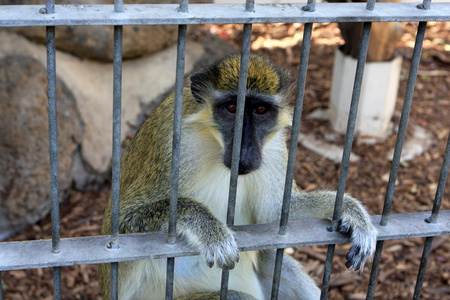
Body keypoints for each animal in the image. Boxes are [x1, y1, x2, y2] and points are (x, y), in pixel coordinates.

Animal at [97, 54, 376, 300]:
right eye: (232, 108)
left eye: (261, 109)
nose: (245, 148)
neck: (213, 139)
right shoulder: (169, 141)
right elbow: (122, 220)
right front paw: (208, 228)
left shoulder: (274, 148)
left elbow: (276, 214)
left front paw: (351, 211)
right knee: (234, 295)